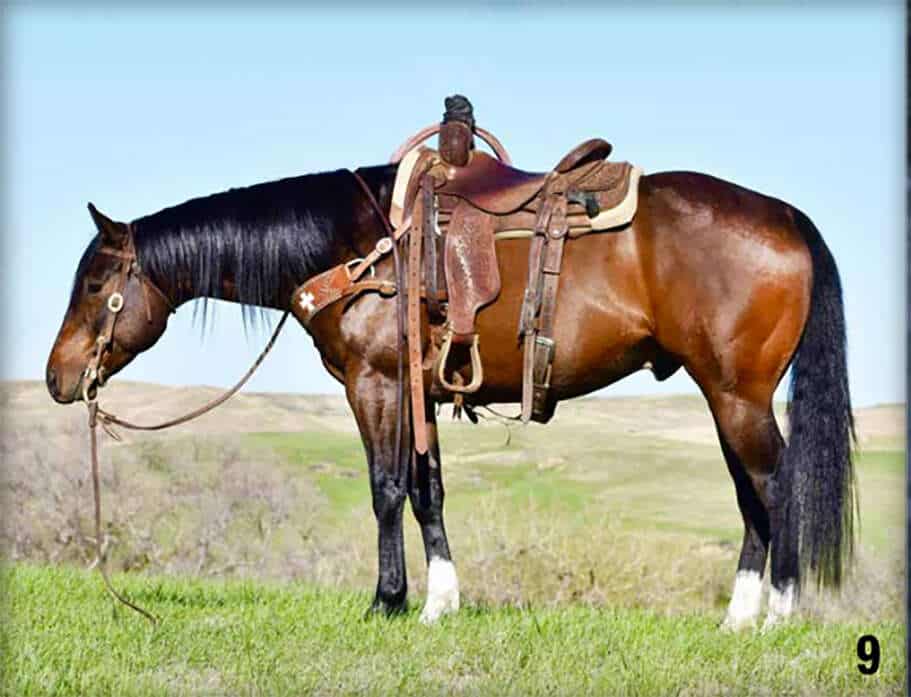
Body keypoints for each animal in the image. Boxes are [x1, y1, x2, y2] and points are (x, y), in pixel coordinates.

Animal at [46, 159, 854, 630]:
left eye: (94, 283)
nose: (58, 378)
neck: (359, 249)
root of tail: (785, 216)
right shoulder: (419, 395)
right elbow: (426, 491)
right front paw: (440, 601)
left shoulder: (374, 384)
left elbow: (384, 488)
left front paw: (386, 600)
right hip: (725, 396)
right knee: (750, 494)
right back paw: (739, 616)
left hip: (737, 395)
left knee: (775, 485)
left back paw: (779, 614)